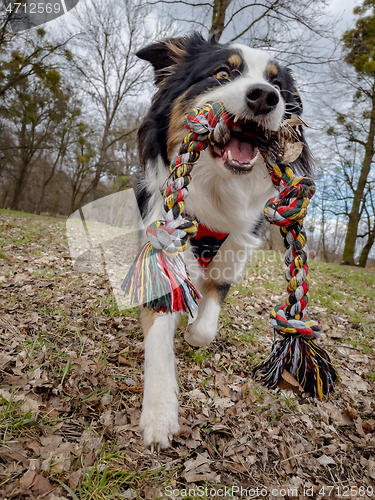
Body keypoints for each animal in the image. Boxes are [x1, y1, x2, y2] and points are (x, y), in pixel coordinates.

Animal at [134, 32, 312, 450]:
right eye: (221, 73)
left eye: (279, 86)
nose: (264, 97)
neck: (216, 190)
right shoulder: (163, 243)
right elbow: (159, 335)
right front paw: (159, 414)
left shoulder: (234, 252)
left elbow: (206, 325)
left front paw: (194, 328)